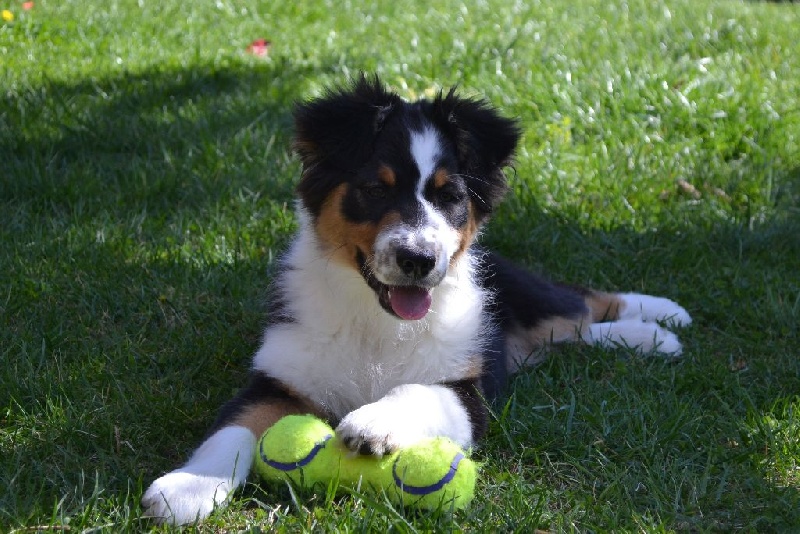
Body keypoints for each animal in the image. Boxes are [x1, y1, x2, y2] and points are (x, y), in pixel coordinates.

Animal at [141, 75, 692, 528]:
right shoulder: (276, 377)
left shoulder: (469, 393)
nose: (418, 259)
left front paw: (372, 423)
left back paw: (660, 319)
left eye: (450, 196)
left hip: (522, 292)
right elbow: (232, 429)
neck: (374, 321)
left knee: (580, 304)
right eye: (373, 189)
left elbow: (418, 389)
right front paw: (185, 489)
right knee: (573, 331)